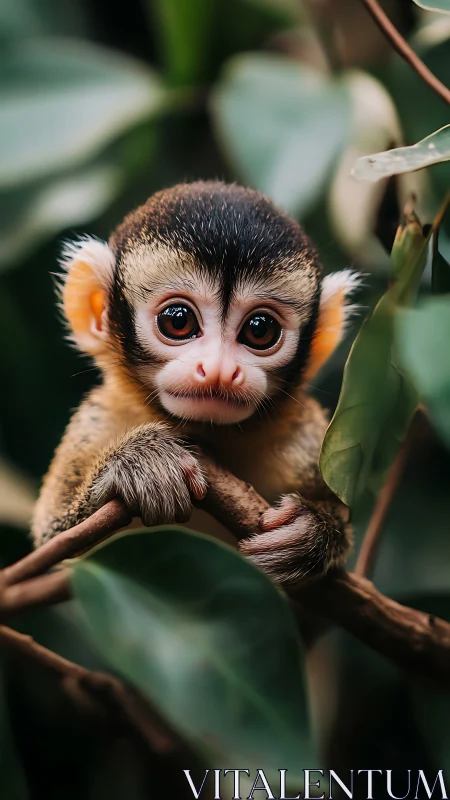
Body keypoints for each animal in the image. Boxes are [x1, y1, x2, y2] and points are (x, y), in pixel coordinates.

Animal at [32, 181, 359, 587]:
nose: (219, 371)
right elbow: (54, 545)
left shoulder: (306, 437)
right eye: (179, 321)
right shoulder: (96, 422)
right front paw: (140, 463)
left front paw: (313, 531)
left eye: (260, 329)